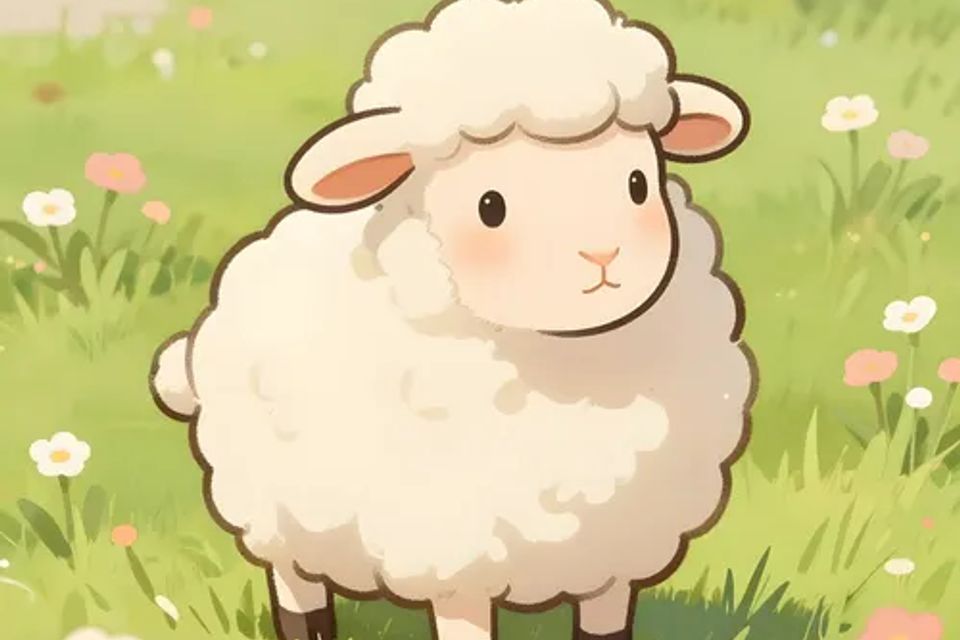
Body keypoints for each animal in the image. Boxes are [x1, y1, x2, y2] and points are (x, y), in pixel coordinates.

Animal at [149, 1, 756, 639]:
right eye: (491, 207)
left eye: (638, 183)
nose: (602, 255)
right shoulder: (456, 554)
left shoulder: (616, 555)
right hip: (276, 514)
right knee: (294, 586)